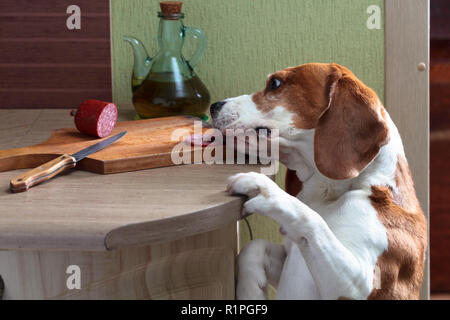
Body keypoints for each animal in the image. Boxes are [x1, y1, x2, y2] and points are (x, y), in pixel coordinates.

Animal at [209, 63, 428, 300]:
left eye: (275, 83)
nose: (213, 106)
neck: (331, 194)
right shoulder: (289, 253)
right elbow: (254, 247)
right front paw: (250, 292)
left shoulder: (360, 286)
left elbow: (311, 219)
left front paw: (267, 191)